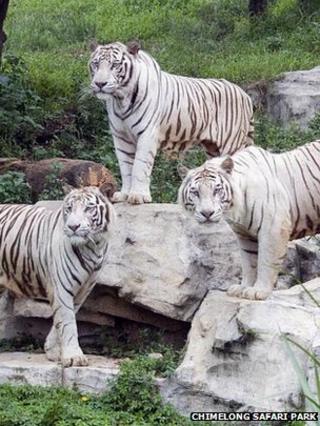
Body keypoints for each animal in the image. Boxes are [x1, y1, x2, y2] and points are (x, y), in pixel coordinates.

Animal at [0, 186, 115, 366]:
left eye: (88, 208)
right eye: (69, 208)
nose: (73, 226)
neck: (93, 246)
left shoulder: (84, 288)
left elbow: (63, 319)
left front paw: (53, 351)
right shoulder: (62, 287)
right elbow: (68, 322)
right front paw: (74, 357)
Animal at [89, 40, 254, 205]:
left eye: (114, 65)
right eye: (96, 64)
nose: (99, 83)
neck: (120, 99)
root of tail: (244, 94)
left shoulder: (147, 134)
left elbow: (139, 166)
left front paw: (138, 196)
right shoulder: (121, 137)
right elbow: (126, 167)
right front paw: (124, 195)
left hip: (231, 144)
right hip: (212, 148)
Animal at [179, 141, 320, 302]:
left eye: (217, 190)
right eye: (195, 192)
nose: (207, 213)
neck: (237, 210)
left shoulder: (273, 228)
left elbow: (265, 261)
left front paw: (258, 291)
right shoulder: (244, 235)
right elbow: (249, 263)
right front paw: (243, 288)